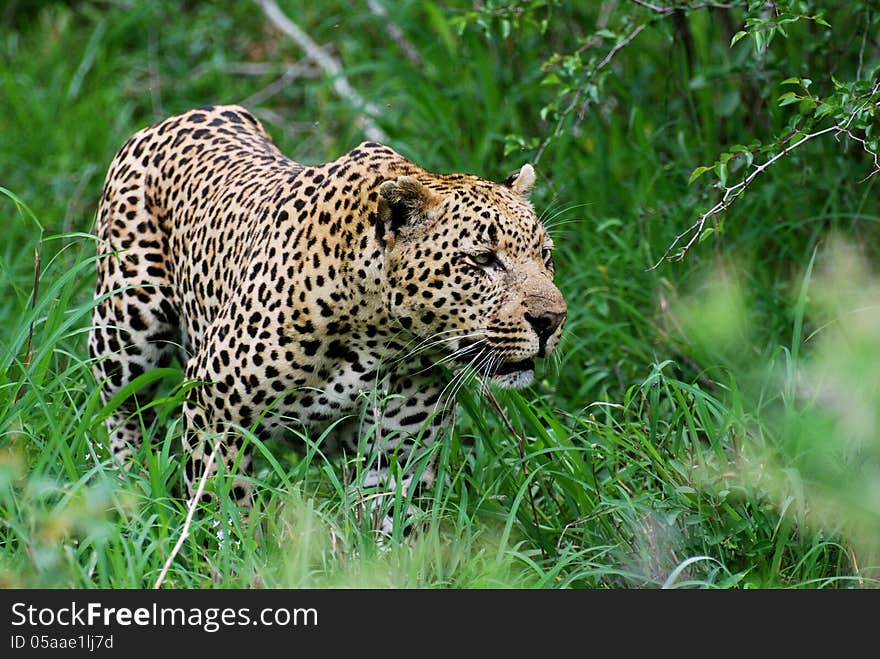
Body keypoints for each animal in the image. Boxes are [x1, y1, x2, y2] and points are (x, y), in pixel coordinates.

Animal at [89, 107, 568, 532]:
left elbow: (389, 530)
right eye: (483, 260)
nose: (552, 319)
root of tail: (181, 115)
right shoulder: (215, 409)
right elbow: (221, 506)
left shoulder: (396, 453)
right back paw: (129, 491)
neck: (383, 336)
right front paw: (224, 555)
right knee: (121, 411)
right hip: (125, 331)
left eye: (545, 256)